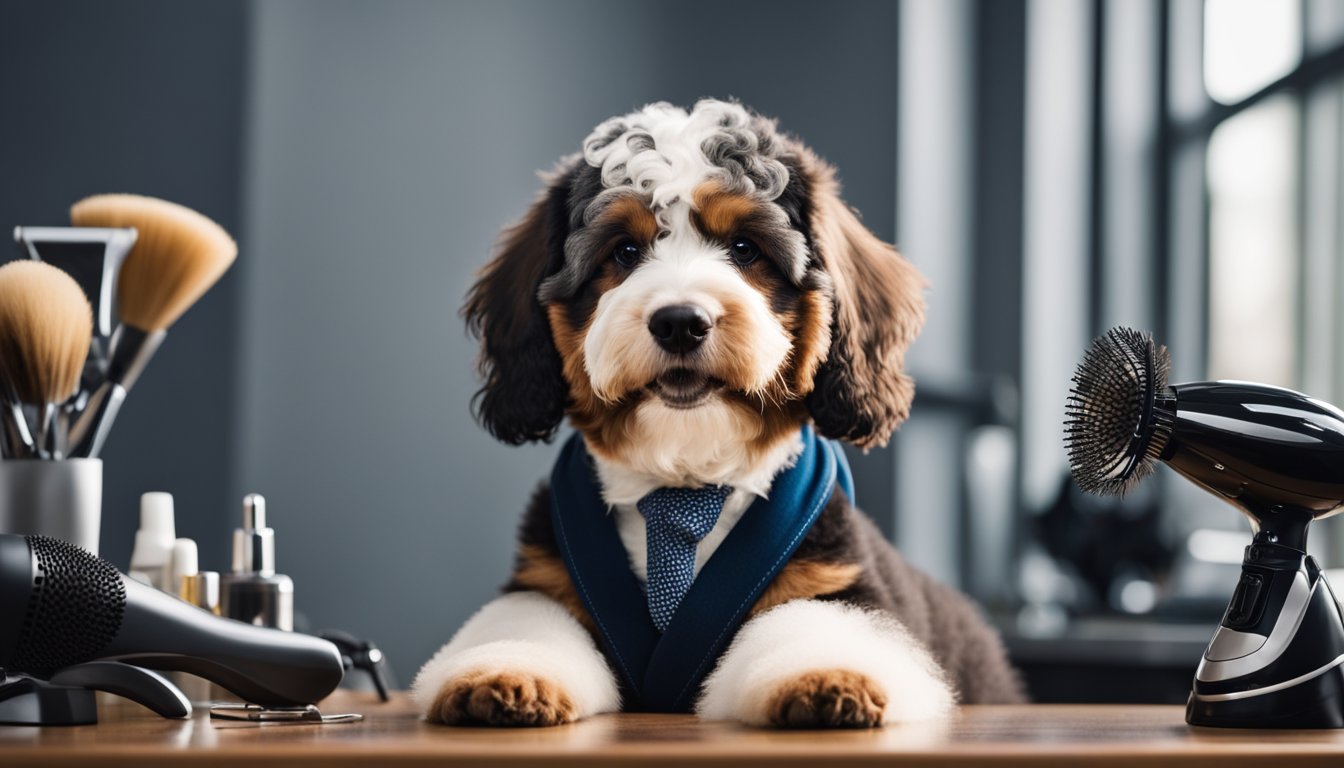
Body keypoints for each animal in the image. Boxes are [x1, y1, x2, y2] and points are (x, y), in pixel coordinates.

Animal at [413, 98, 1021, 731]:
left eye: (745, 248)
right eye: (624, 251)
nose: (681, 321)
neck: (684, 485)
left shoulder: (833, 582)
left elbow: (814, 629)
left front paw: (829, 677)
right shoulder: (542, 581)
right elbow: (527, 628)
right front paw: (504, 673)